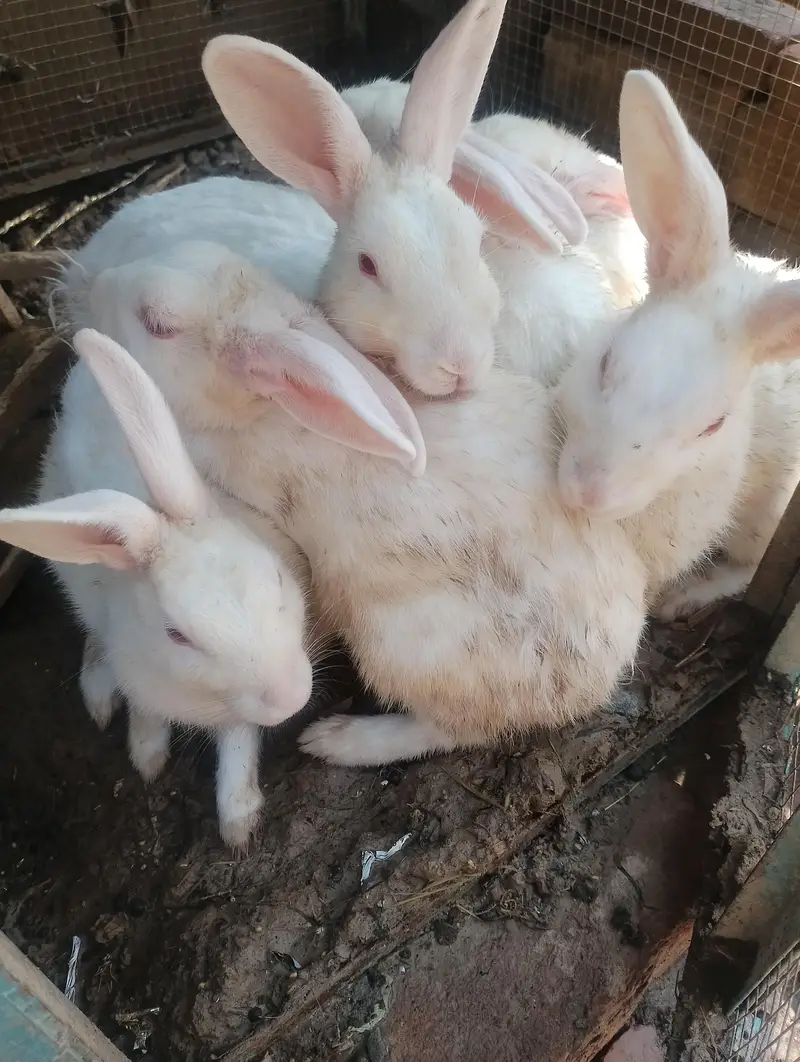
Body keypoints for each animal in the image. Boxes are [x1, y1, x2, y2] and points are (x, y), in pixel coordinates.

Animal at [0, 328, 316, 847]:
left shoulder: (238, 716)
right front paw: (147, 757)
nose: (290, 698)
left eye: (275, 577)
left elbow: (238, 745)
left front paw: (237, 822)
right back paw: (98, 692)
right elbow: (146, 715)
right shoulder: (144, 681)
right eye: (177, 636)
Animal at [555, 71, 800, 618]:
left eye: (712, 426)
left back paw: (686, 599)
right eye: (606, 362)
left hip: (767, 523)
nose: (587, 493)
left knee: (749, 569)